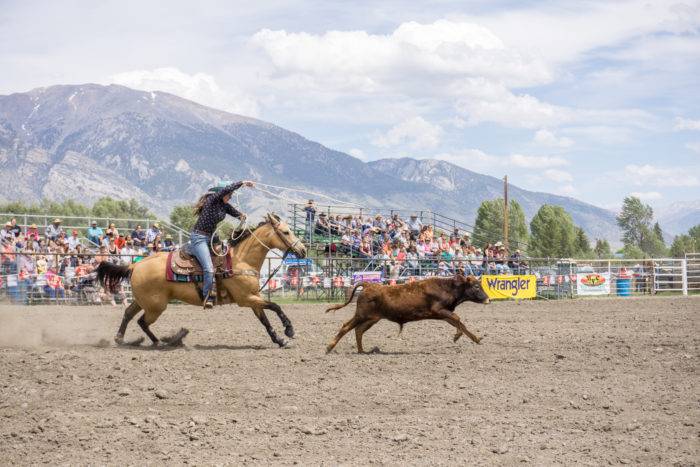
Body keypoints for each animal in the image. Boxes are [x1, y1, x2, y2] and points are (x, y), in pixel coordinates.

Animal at [96, 214, 306, 350]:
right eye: (286, 232)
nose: (303, 250)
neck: (241, 260)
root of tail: (135, 265)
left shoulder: (253, 298)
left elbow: (264, 320)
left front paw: (280, 340)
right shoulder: (245, 298)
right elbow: (276, 306)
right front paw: (289, 330)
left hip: (143, 301)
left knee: (128, 314)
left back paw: (123, 339)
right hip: (156, 306)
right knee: (141, 321)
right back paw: (164, 342)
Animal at [326, 276, 490, 352]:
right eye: (476, 286)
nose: (488, 299)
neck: (447, 288)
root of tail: (368, 285)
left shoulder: (443, 314)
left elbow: (459, 323)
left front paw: (475, 338)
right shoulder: (438, 310)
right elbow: (457, 318)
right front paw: (458, 336)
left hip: (372, 318)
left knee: (358, 330)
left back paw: (362, 351)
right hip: (362, 315)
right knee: (346, 326)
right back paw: (329, 347)